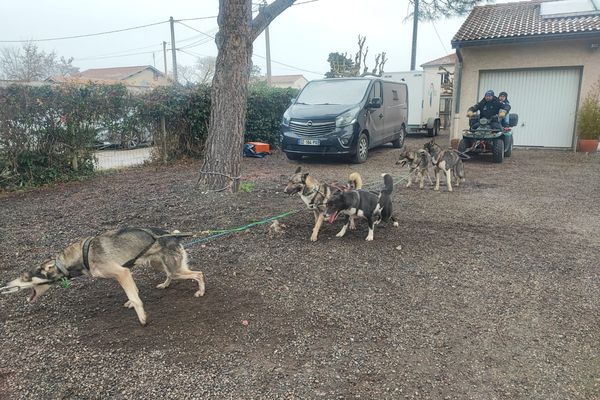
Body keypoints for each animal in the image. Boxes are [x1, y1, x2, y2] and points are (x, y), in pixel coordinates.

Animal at [2, 228, 205, 324]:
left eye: (25, 278)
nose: (5, 286)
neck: (82, 256)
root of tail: (173, 236)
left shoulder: (122, 273)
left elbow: (135, 297)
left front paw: (142, 318)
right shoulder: (126, 273)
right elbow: (134, 292)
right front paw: (131, 303)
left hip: (175, 270)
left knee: (199, 273)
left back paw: (201, 291)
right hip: (159, 265)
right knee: (171, 275)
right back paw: (165, 284)